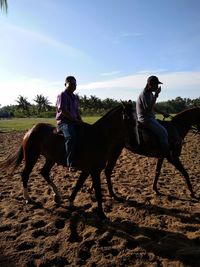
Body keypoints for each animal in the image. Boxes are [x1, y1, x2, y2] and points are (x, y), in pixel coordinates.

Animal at [0, 102, 138, 220]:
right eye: (127, 118)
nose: (134, 143)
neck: (98, 137)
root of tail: (31, 130)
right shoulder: (95, 171)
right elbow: (98, 193)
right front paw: (102, 214)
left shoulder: (87, 170)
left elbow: (78, 185)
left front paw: (71, 202)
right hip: (31, 157)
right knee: (25, 175)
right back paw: (28, 198)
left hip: (50, 158)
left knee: (44, 172)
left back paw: (57, 196)